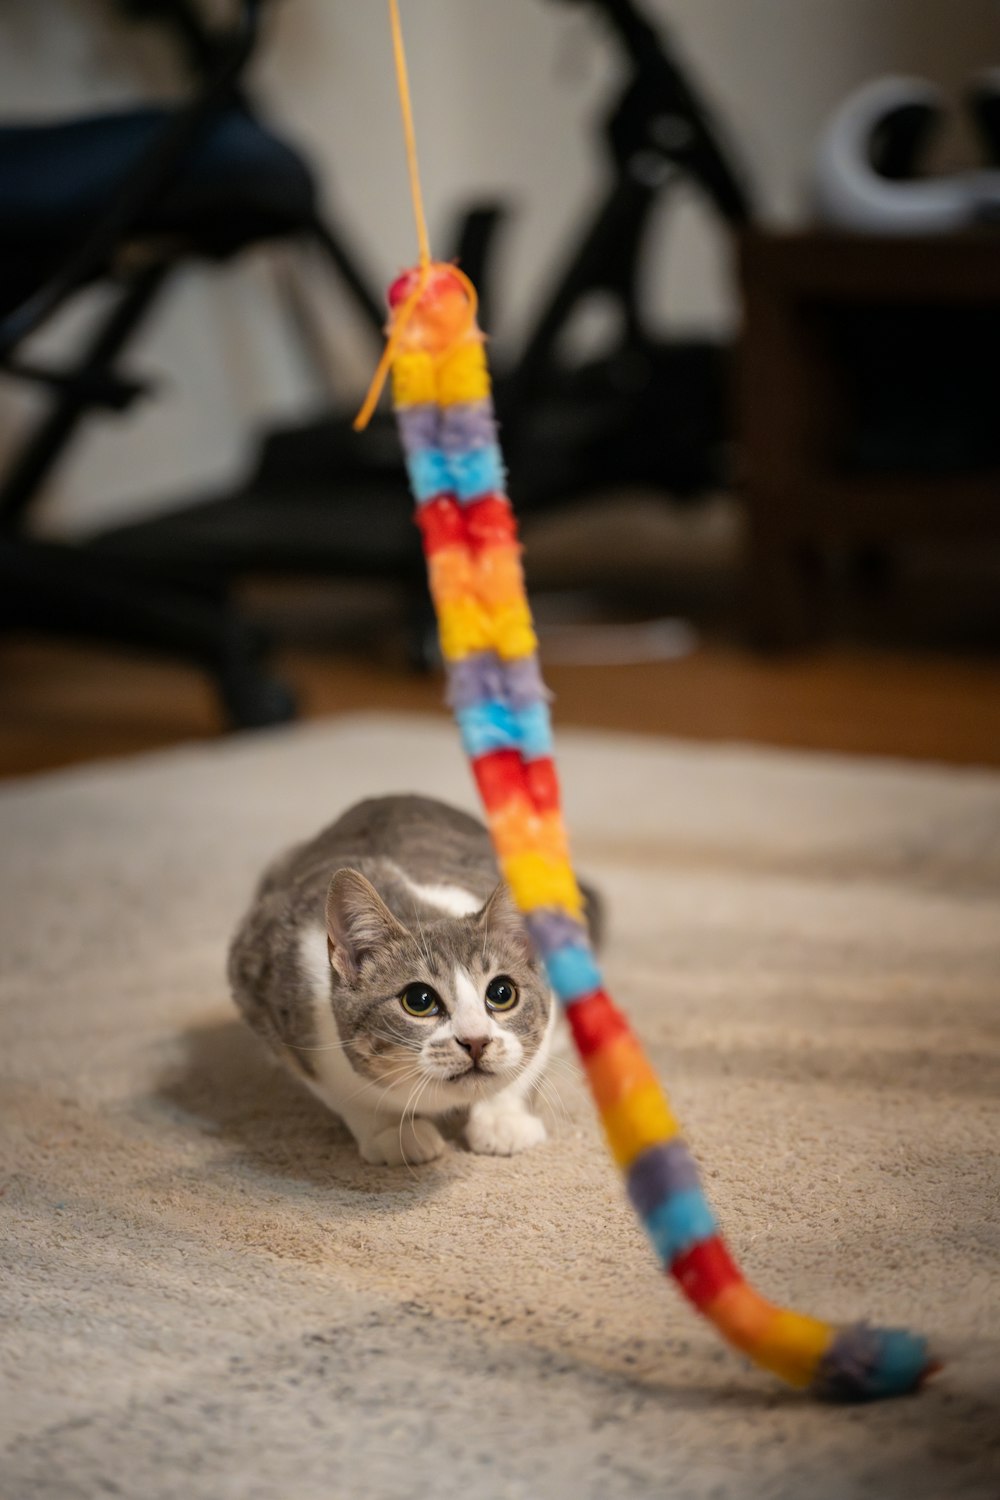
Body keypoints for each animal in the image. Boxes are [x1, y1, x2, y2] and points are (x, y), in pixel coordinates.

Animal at [230, 792, 599, 1164]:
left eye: (501, 993)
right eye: (419, 1001)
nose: (476, 1041)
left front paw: (503, 1119)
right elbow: (347, 1094)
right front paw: (393, 1131)